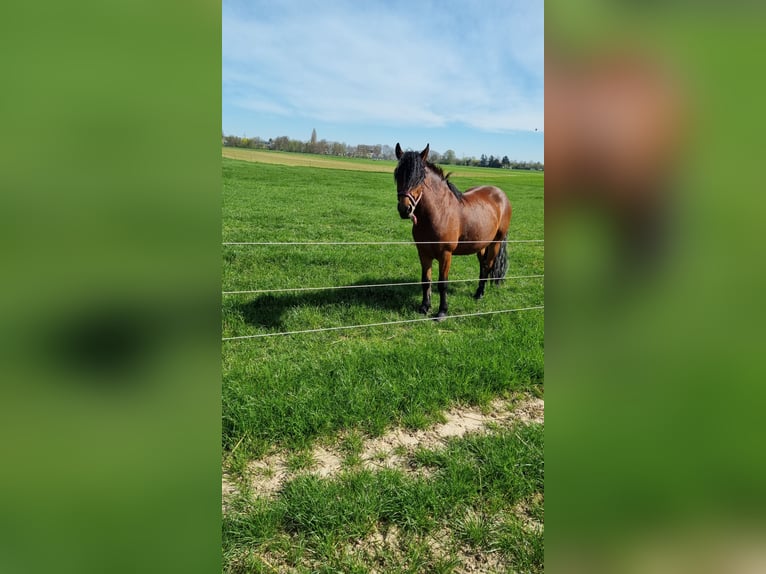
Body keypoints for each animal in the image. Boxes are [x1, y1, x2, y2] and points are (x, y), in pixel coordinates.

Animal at [396, 144, 516, 322]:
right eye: (397, 174)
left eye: (420, 177)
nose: (405, 209)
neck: (439, 212)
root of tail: (501, 194)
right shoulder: (423, 252)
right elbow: (426, 280)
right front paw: (424, 307)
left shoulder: (446, 254)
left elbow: (442, 283)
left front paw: (442, 312)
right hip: (481, 244)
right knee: (483, 265)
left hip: (496, 242)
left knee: (488, 265)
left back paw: (480, 293)